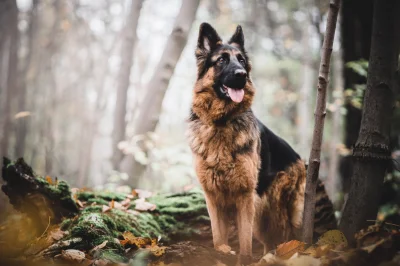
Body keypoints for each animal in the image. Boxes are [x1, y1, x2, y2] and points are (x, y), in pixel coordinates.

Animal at [186, 23, 336, 260]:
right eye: (221, 60)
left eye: (241, 60)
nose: (242, 74)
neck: (221, 123)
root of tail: (301, 162)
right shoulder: (212, 195)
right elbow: (218, 234)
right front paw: (222, 251)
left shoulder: (245, 195)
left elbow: (245, 240)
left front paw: (244, 259)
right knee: (270, 242)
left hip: (272, 213)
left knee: (283, 239)